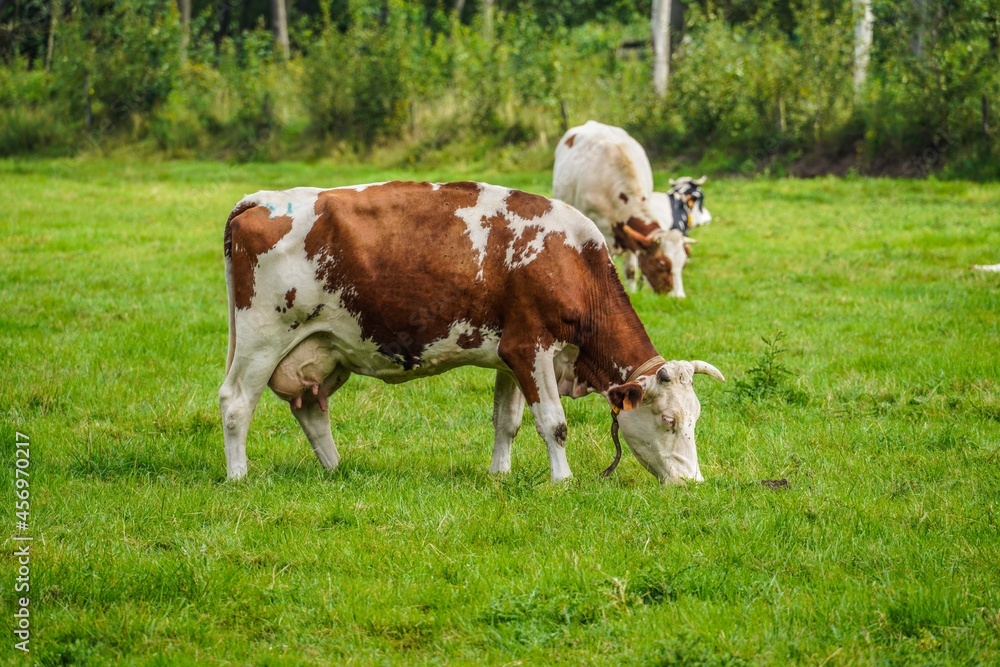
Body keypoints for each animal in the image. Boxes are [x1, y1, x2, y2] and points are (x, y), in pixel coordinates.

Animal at [221, 183, 720, 486]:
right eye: (669, 420)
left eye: (695, 420)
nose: (692, 482)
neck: (571, 260)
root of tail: (261, 200)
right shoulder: (530, 348)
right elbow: (553, 423)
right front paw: (563, 480)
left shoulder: (511, 355)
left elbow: (508, 421)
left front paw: (499, 474)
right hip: (262, 339)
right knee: (235, 403)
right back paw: (238, 475)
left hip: (319, 349)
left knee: (310, 409)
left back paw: (336, 470)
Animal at [552, 120, 692, 298]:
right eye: (661, 264)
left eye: (683, 263)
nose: (678, 298)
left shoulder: (629, 236)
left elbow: (631, 270)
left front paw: (632, 291)